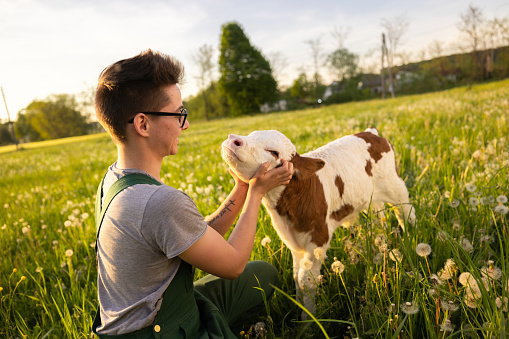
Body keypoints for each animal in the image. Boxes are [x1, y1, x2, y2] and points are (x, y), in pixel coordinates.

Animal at [220, 129, 414, 316]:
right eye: (251, 134)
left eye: (274, 152)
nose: (233, 140)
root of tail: (370, 132)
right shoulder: (293, 243)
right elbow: (297, 276)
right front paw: (301, 313)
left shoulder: (319, 236)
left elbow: (306, 280)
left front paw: (309, 319)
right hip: (370, 199)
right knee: (379, 219)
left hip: (395, 187)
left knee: (406, 212)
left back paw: (411, 236)